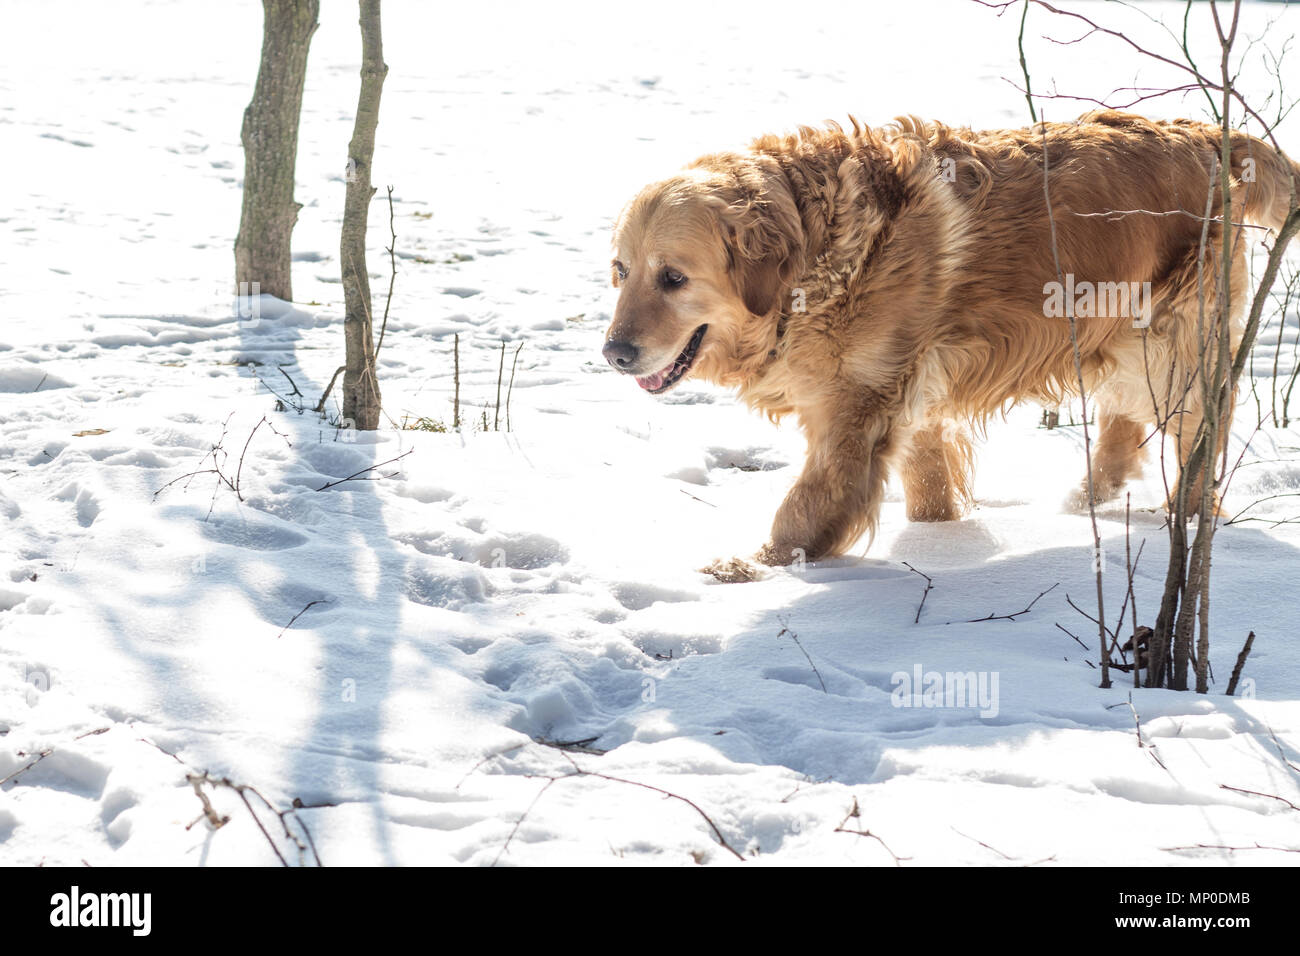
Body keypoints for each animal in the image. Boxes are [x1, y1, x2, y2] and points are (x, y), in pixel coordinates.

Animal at [603, 108, 1294, 580]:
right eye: (621, 270)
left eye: (673, 277)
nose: (614, 353)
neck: (819, 254)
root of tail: (1206, 132)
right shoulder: (912, 391)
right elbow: (929, 484)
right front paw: (943, 539)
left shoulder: (856, 407)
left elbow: (805, 507)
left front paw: (751, 570)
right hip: (1119, 334)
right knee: (1124, 417)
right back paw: (1085, 501)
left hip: (1171, 343)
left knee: (1202, 426)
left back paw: (1186, 517)